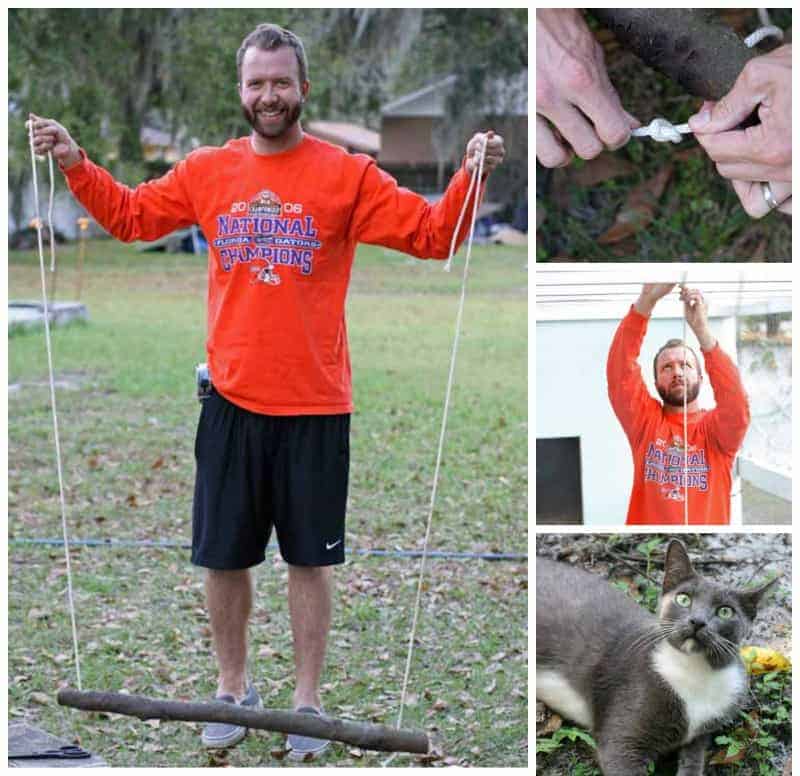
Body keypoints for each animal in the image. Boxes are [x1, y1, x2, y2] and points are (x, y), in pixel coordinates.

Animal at [536, 540, 776, 776]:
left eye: (725, 611)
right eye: (683, 599)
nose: (697, 621)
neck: (695, 670)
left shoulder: (702, 732)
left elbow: (694, 758)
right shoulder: (623, 737)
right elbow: (618, 748)